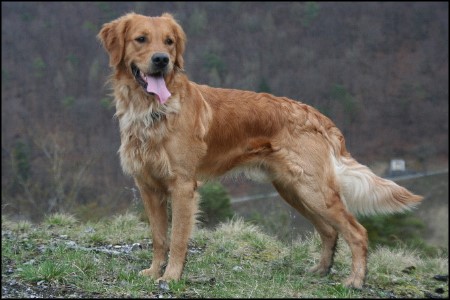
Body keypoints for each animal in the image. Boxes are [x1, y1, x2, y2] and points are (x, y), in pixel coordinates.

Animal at [97, 12, 422, 290]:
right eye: (141, 39)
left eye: (169, 42)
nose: (162, 60)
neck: (152, 111)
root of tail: (315, 115)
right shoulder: (148, 186)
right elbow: (158, 237)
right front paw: (154, 271)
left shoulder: (183, 186)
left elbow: (177, 238)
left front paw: (172, 276)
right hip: (294, 191)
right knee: (330, 231)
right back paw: (321, 270)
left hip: (314, 191)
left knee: (357, 232)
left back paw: (355, 280)